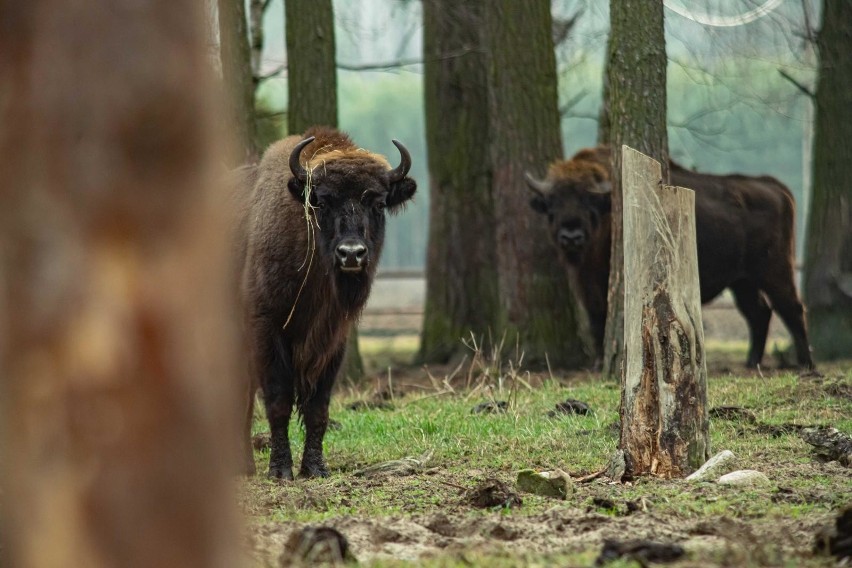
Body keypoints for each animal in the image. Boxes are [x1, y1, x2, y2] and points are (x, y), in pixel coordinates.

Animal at [235, 126, 418, 478]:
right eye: (321, 201)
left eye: (378, 203)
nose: (351, 254)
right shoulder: (267, 329)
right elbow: (278, 401)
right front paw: (281, 471)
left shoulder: (335, 338)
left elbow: (318, 407)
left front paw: (315, 469)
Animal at [528, 144, 816, 370]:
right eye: (552, 204)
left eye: (589, 204)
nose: (571, 236)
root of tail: (776, 187)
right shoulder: (589, 289)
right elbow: (596, 320)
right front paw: (599, 363)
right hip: (742, 281)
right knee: (759, 313)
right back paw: (751, 362)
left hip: (774, 271)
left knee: (791, 307)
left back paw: (805, 363)